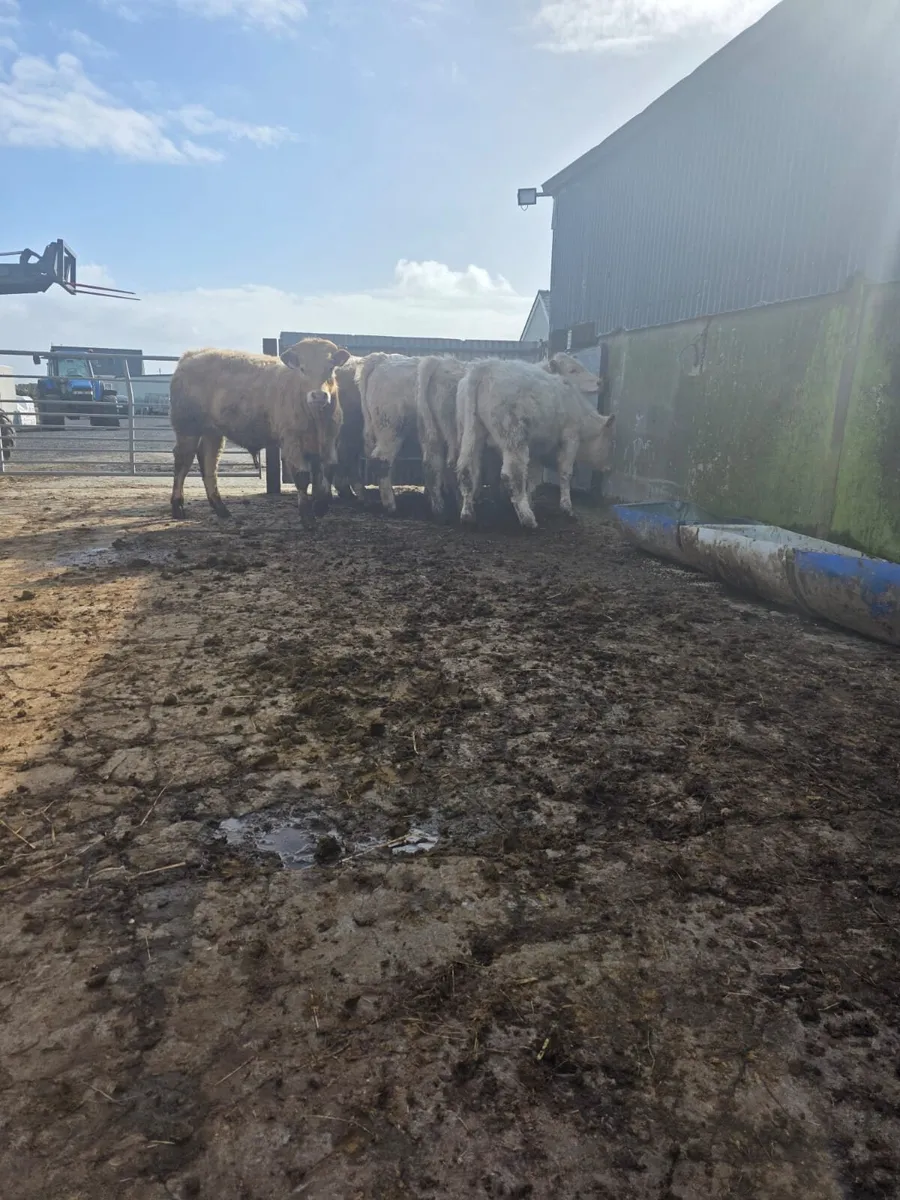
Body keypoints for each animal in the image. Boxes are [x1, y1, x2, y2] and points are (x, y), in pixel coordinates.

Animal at [169, 339, 349, 528]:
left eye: (330, 367)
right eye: (302, 368)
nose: (319, 395)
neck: (317, 420)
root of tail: (192, 355)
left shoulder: (329, 440)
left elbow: (328, 470)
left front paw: (321, 506)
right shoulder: (292, 441)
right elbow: (302, 477)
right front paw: (307, 517)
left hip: (212, 432)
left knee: (209, 462)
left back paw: (220, 508)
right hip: (187, 427)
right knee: (183, 461)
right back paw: (178, 506)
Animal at [456, 353, 615, 529]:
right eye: (610, 442)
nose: (609, 467)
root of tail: (484, 367)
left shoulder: (536, 448)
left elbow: (532, 477)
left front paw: (531, 501)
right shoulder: (570, 437)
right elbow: (565, 472)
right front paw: (567, 508)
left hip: (470, 433)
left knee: (467, 470)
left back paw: (468, 515)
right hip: (514, 437)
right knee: (512, 475)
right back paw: (527, 518)